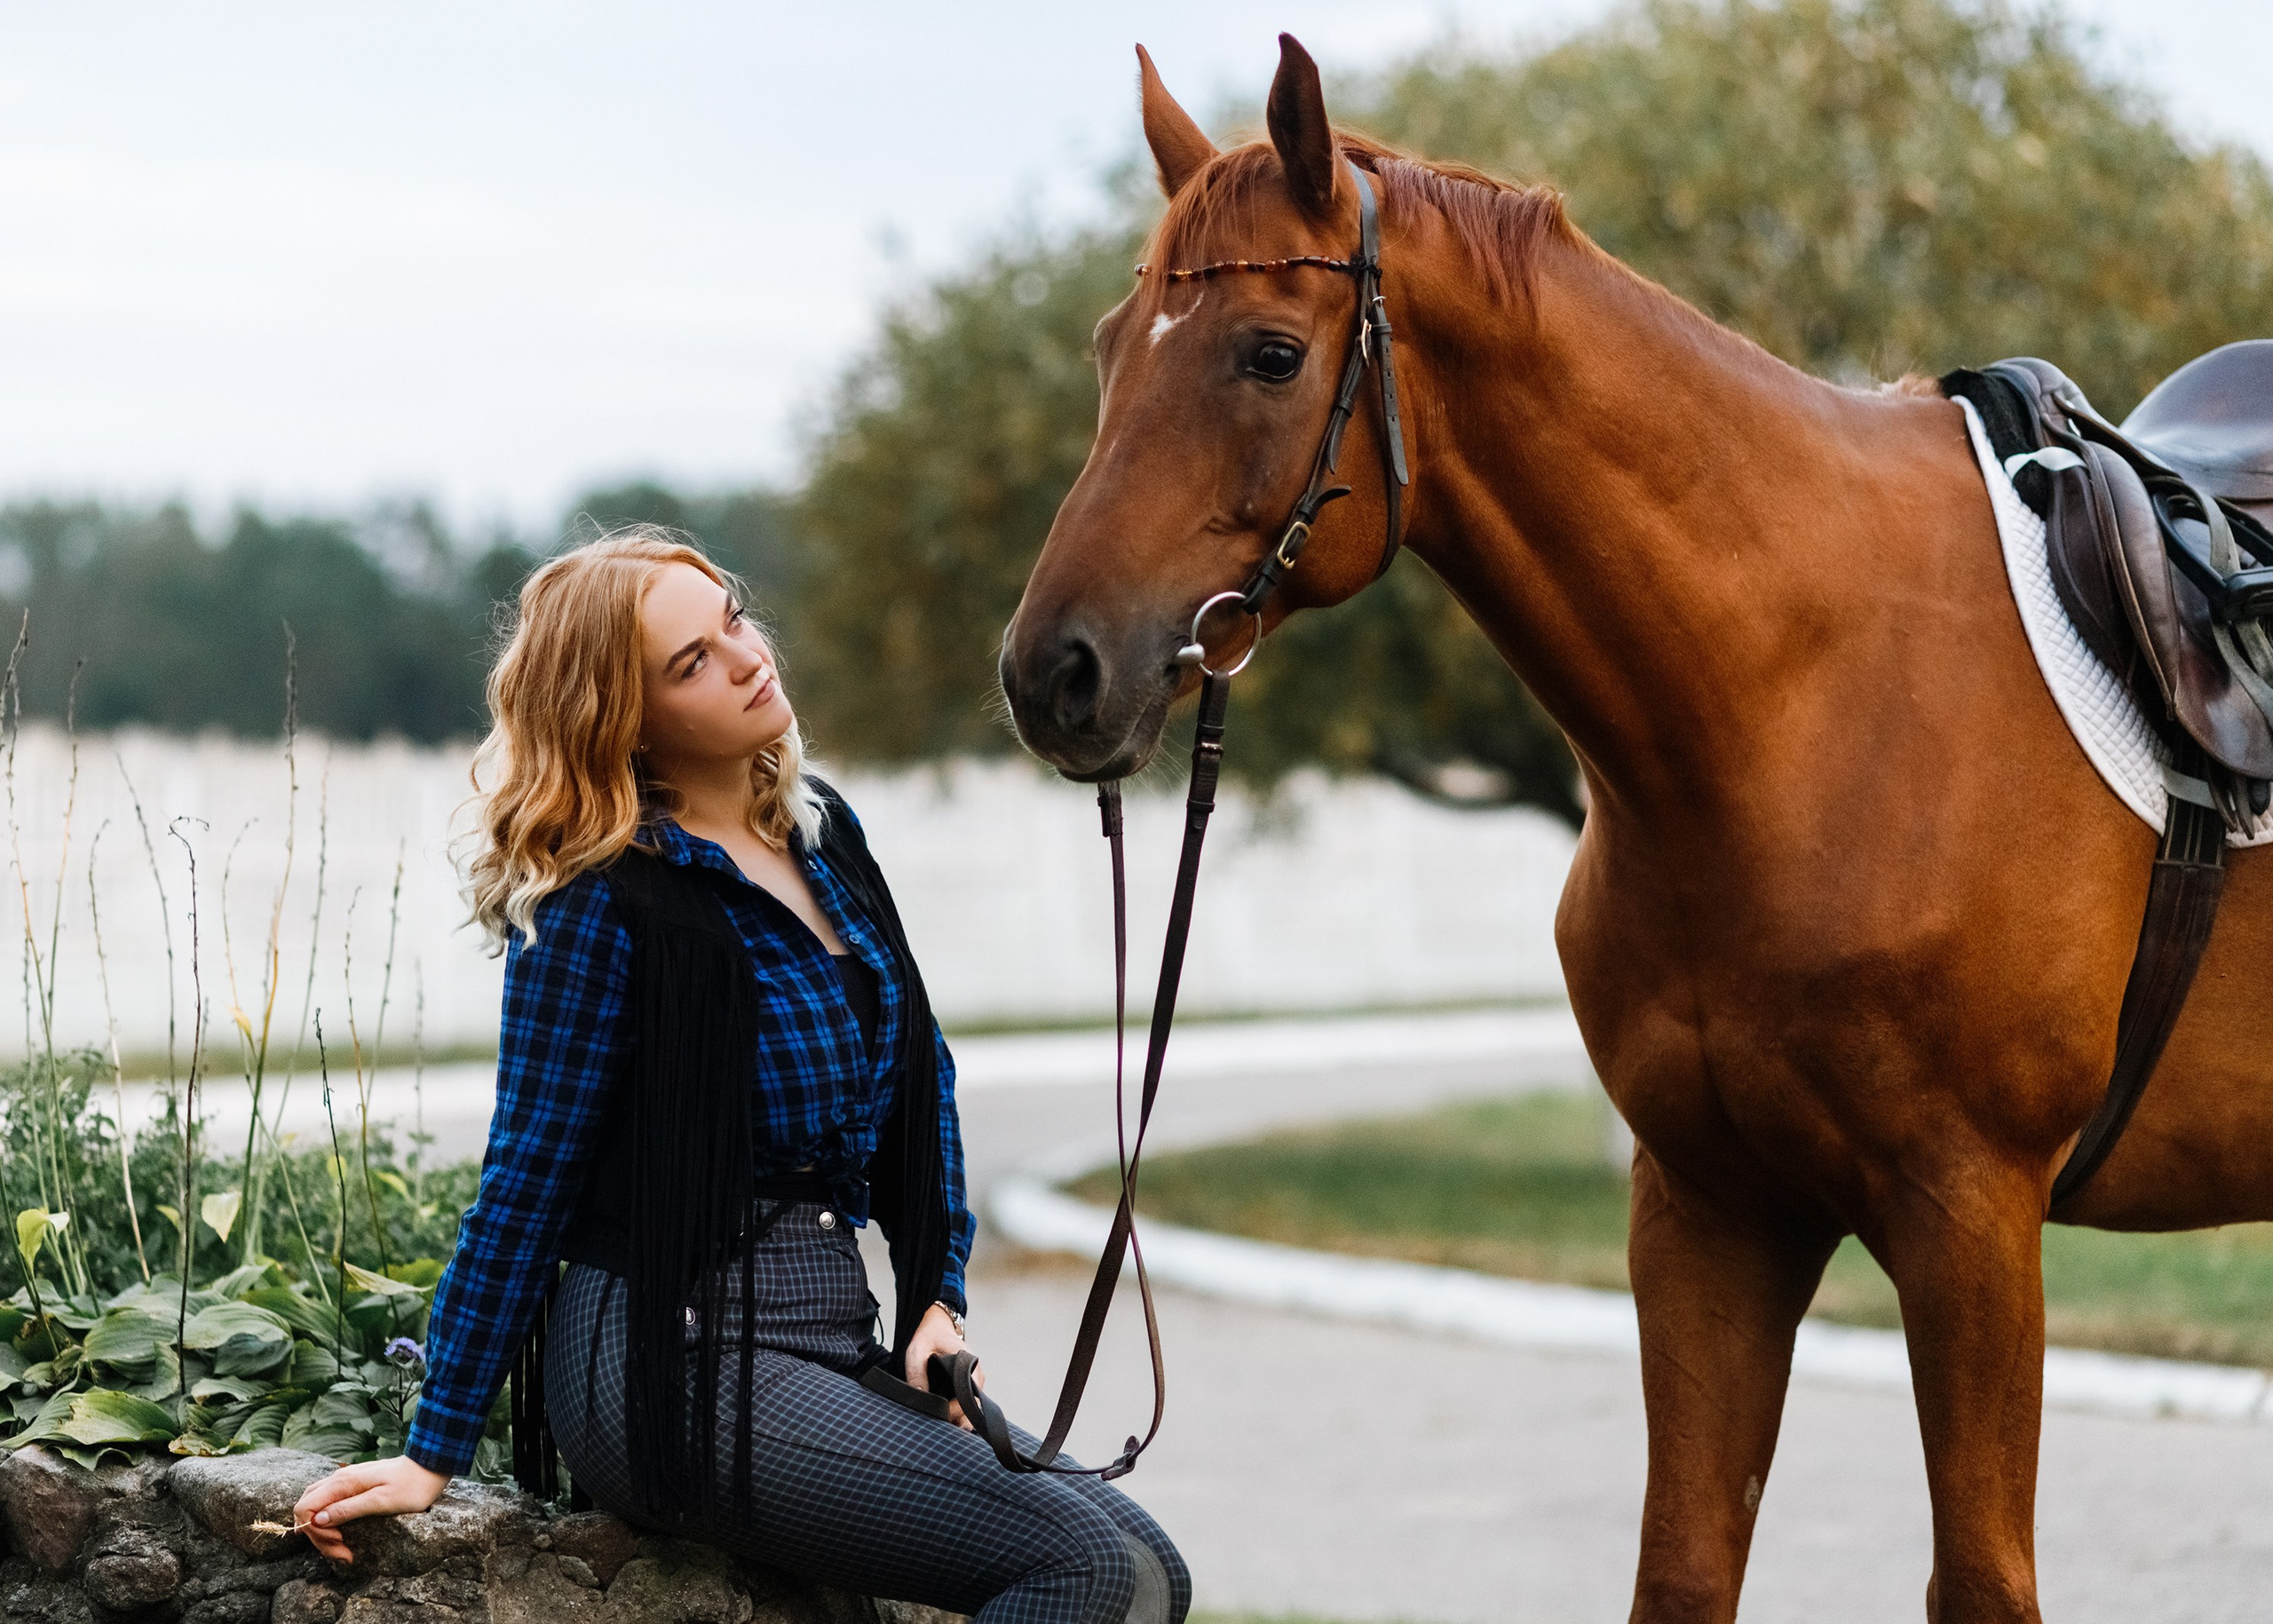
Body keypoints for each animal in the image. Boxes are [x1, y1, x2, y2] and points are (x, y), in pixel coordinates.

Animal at [997, 34, 2273, 1624]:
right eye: (1112, 346)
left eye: (1270, 353)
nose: (1053, 673)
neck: (1803, 694)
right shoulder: (1706, 1213)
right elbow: (1682, 1566)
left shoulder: (1970, 1221)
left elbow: (1980, 1578)